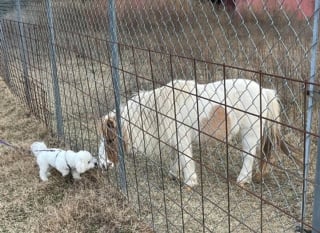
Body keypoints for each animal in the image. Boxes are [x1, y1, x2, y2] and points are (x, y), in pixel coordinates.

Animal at [97, 79, 290, 187]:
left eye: (110, 140)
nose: (102, 165)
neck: (157, 110)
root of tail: (265, 91)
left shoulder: (182, 139)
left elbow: (185, 159)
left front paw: (190, 182)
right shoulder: (176, 139)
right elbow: (178, 157)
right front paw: (174, 174)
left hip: (249, 134)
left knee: (248, 156)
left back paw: (242, 179)